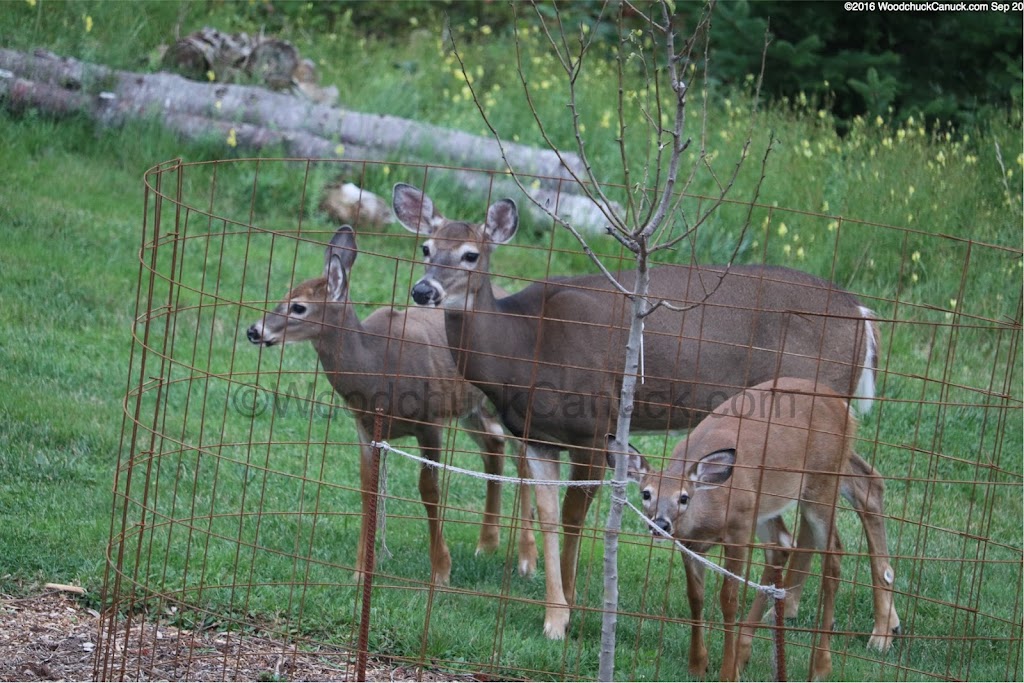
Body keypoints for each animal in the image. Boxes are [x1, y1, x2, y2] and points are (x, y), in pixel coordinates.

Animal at [244, 225, 540, 589]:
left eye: (298, 307)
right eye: (283, 295)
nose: (254, 330)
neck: (376, 368)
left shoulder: (429, 421)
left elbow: (429, 490)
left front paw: (441, 570)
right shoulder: (366, 428)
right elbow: (367, 490)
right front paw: (361, 571)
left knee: (523, 461)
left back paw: (527, 560)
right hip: (470, 408)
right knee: (494, 447)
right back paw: (486, 545)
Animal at [387, 183, 901, 647]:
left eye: (471, 255)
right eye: (426, 247)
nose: (423, 290)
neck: (524, 346)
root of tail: (863, 312)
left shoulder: (594, 425)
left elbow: (574, 518)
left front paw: (570, 609)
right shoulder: (537, 435)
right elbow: (548, 514)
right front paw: (553, 614)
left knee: (858, 489)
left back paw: (876, 629)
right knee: (855, 491)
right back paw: (826, 612)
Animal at [606, 376, 897, 679]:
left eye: (683, 498)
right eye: (646, 493)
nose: (661, 523)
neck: (710, 509)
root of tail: (843, 407)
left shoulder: (738, 531)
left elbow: (728, 600)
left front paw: (726, 673)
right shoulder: (689, 544)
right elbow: (696, 597)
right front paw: (698, 664)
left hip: (822, 482)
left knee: (834, 555)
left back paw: (821, 665)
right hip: (767, 504)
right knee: (782, 545)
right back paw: (744, 653)